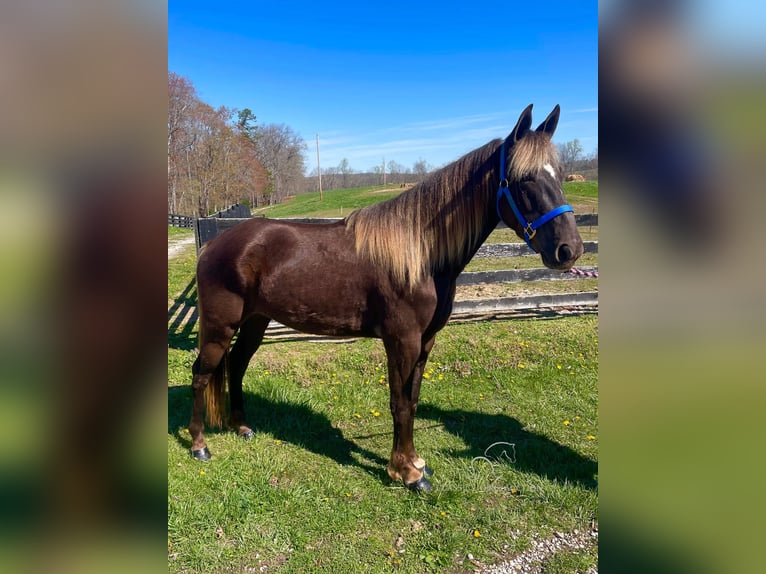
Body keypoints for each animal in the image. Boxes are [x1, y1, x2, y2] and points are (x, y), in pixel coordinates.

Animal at [189, 103, 584, 490]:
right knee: (201, 372)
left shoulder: (425, 341)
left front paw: (414, 463)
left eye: (560, 174)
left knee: (236, 364)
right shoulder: (401, 341)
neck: (421, 255)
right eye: (524, 179)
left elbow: (413, 399)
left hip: (255, 321)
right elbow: (400, 404)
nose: (569, 250)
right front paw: (406, 473)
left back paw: (241, 427)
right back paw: (199, 445)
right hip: (220, 326)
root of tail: (215, 243)